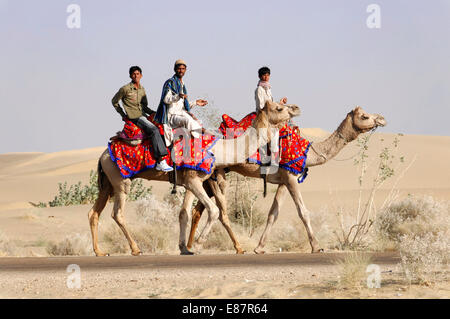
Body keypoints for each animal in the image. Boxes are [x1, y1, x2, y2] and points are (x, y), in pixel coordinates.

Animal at [87, 101, 298, 256]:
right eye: (279, 107)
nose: (296, 108)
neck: (216, 150)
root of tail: (103, 156)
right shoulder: (193, 180)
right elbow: (213, 210)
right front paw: (196, 245)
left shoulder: (191, 181)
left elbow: (187, 213)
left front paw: (185, 247)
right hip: (121, 180)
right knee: (117, 213)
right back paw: (136, 249)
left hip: (107, 183)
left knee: (94, 213)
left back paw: (99, 252)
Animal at [183, 107, 386, 255]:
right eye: (365, 116)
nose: (382, 119)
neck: (308, 152)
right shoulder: (291, 178)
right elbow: (303, 212)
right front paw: (316, 246)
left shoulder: (284, 180)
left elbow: (273, 213)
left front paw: (259, 248)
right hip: (215, 175)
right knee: (215, 211)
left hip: (210, 177)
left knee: (197, 210)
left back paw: (190, 247)